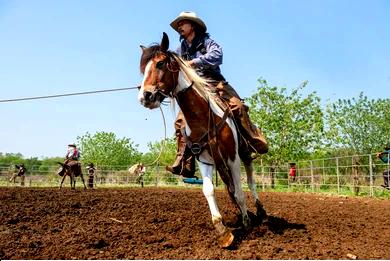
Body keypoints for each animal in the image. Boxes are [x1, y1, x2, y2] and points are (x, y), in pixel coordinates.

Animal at [138, 32, 268, 246]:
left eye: (160, 63)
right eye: (143, 69)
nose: (145, 96)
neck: (204, 118)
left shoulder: (232, 158)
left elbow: (240, 191)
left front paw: (246, 222)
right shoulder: (204, 160)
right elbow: (209, 190)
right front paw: (223, 231)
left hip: (244, 155)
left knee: (250, 182)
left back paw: (260, 211)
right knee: (230, 187)